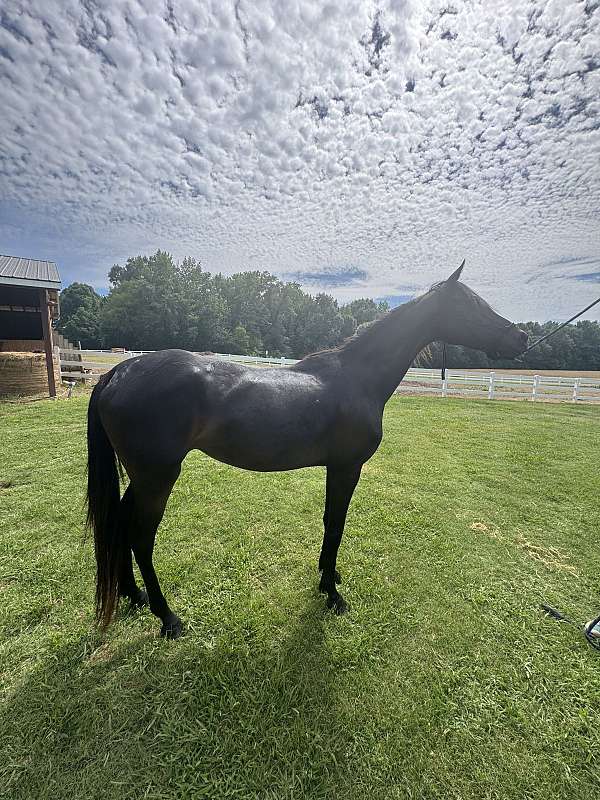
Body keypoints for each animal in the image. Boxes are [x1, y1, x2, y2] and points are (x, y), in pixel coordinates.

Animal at [86, 261, 528, 638]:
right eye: (472, 305)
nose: (520, 337)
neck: (358, 378)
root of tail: (118, 372)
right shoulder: (346, 467)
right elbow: (335, 524)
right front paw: (332, 593)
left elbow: (331, 523)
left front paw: (328, 578)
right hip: (158, 477)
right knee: (141, 536)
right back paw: (168, 618)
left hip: (143, 477)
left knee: (120, 524)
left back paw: (134, 595)